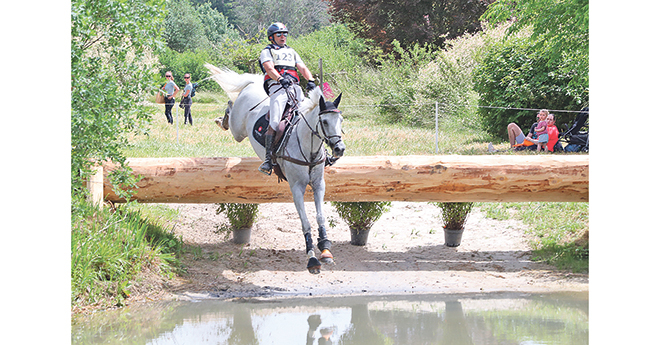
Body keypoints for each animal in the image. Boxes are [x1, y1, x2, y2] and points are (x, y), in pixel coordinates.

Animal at [206, 65, 346, 274]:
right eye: (325, 122)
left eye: (341, 120)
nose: (339, 149)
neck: (309, 148)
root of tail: (253, 84)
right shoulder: (296, 188)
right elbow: (305, 221)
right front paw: (312, 257)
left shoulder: (319, 184)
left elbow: (320, 216)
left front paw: (326, 249)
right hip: (238, 130)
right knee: (231, 111)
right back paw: (221, 119)